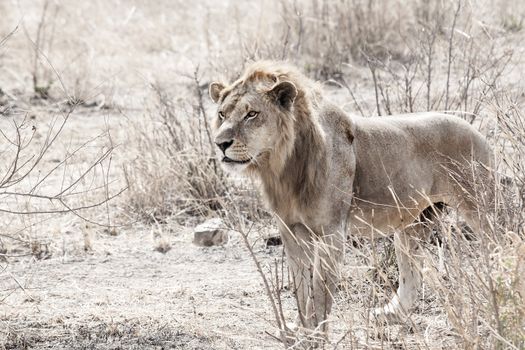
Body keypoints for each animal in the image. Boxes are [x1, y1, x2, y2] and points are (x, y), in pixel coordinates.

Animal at [208, 61, 492, 340]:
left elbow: (319, 293)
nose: (220, 143)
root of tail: (478, 132)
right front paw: (301, 330)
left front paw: (316, 336)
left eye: (252, 114)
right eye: (222, 114)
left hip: (480, 208)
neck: (284, 165)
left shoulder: (332, 233)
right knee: (411, 277)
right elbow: (301, 288)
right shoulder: (290, 230)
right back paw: (388, 315)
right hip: (413, 224)